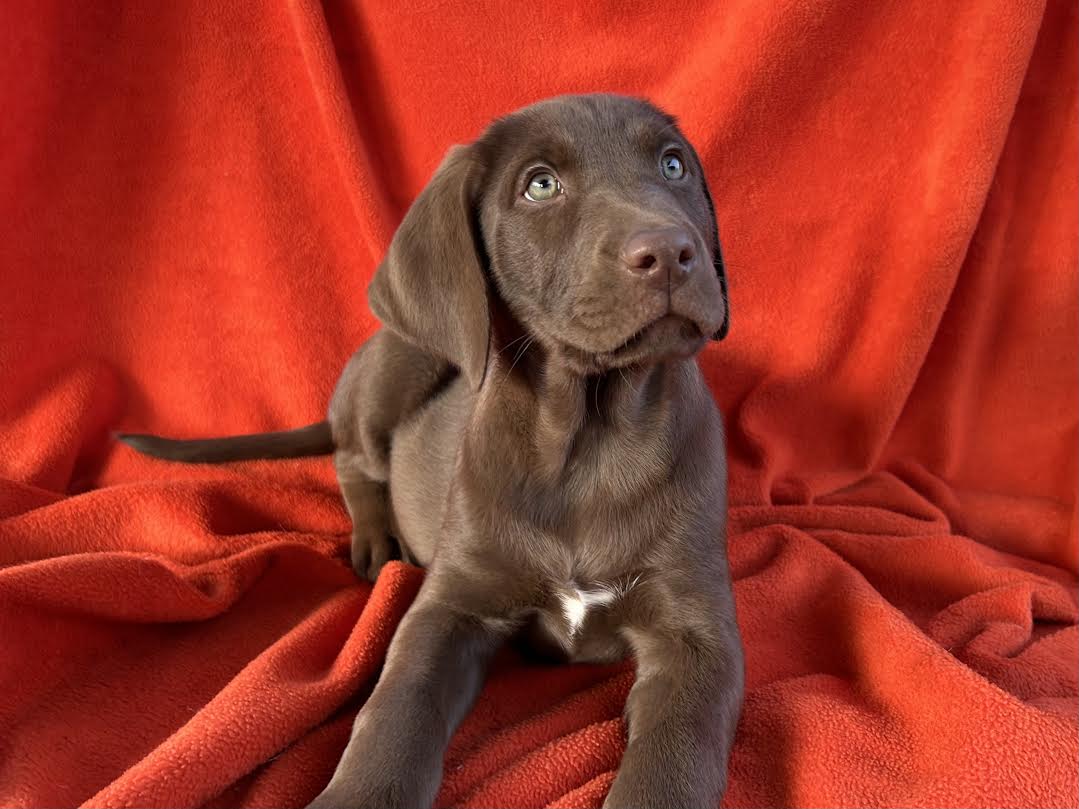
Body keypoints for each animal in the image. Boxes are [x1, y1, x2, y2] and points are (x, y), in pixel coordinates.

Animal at [120, 93, 745, 809]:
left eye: (673, 166)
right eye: (540, 185)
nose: (670, 251)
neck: (590, 443)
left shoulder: (696, 633)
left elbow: (676, 755)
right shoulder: (452, 605)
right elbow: (399, 706)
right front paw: (360, 793)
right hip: (403, 359)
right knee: (355, 460)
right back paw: (376, 540)